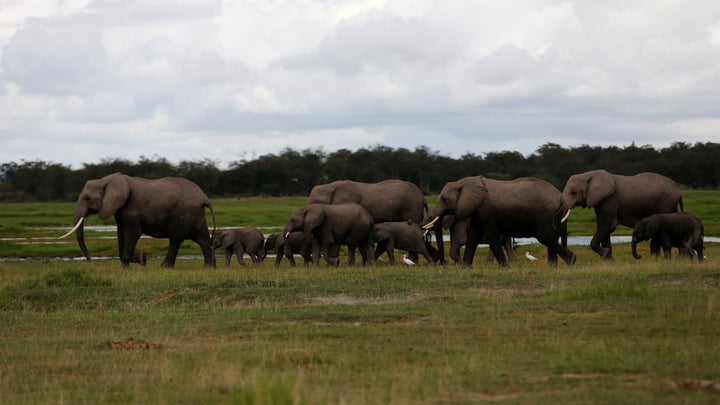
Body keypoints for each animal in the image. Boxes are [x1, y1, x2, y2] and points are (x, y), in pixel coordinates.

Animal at [58, 171, 217, 268]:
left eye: (87, 198)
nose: (90, 261)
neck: (107, 180)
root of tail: (204, 197)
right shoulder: (120, 209)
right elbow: (120, 233)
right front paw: (125, 269)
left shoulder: (131, 209)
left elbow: (133, 233)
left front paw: (142, 259)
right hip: (196, 215)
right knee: (203, 239)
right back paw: (208, 267)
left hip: (184, 214)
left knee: (175, 238)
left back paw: (163, 268)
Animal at [424, 176, 576, 266]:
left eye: (444, 199)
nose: (443, 263)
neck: (465, 183)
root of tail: (561, 197)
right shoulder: (478, 211)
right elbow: (473, 235)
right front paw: (466, 267)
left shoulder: (485, 210)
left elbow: (490, 234)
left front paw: (504, 266)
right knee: (550, 238)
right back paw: (552, 266)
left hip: (545, 215)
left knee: (545, 237)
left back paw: (571, 260)